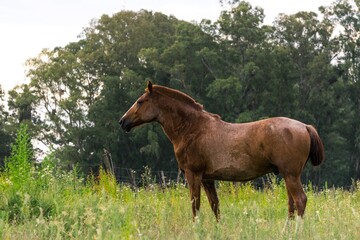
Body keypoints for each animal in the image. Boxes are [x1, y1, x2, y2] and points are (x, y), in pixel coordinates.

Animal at [119, 81, 324, 221]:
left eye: (140, 101)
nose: (123, 121)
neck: (193, 128)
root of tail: (304, 126)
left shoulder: (193, 175)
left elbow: (195, 205)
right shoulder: (208, 179)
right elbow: (214, 206)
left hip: (290, 175)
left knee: (300, 200)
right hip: (289, 176)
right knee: (292, 204)